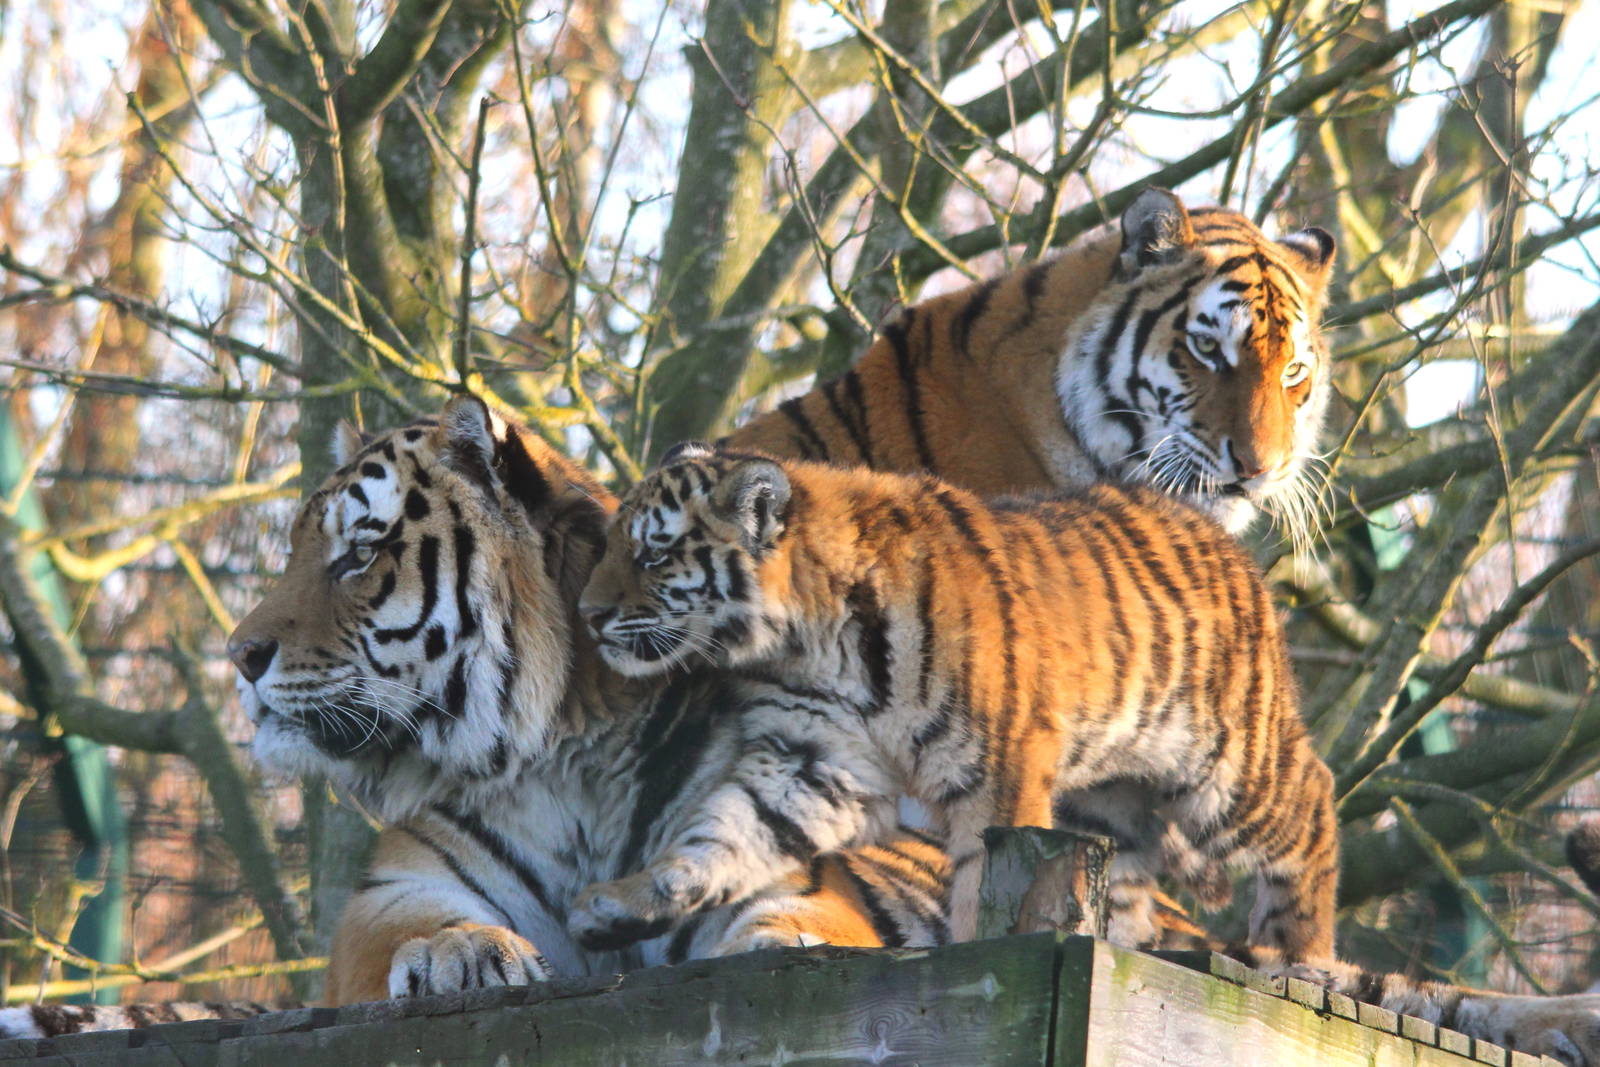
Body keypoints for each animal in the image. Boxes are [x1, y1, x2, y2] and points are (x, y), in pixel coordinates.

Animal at [569, 441, 1600, 1064]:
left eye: (653, 554)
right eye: (612, 545)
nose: (587, 614)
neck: (800, 637)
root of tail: (1224, 540)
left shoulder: (997, 765)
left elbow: (977, 884)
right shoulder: (807, 759)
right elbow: (718, 837)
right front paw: (618, 903)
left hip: (1231, 771)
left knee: (1312, 800)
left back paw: (1302, 953)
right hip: (1116, 806)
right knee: (1134, 897)